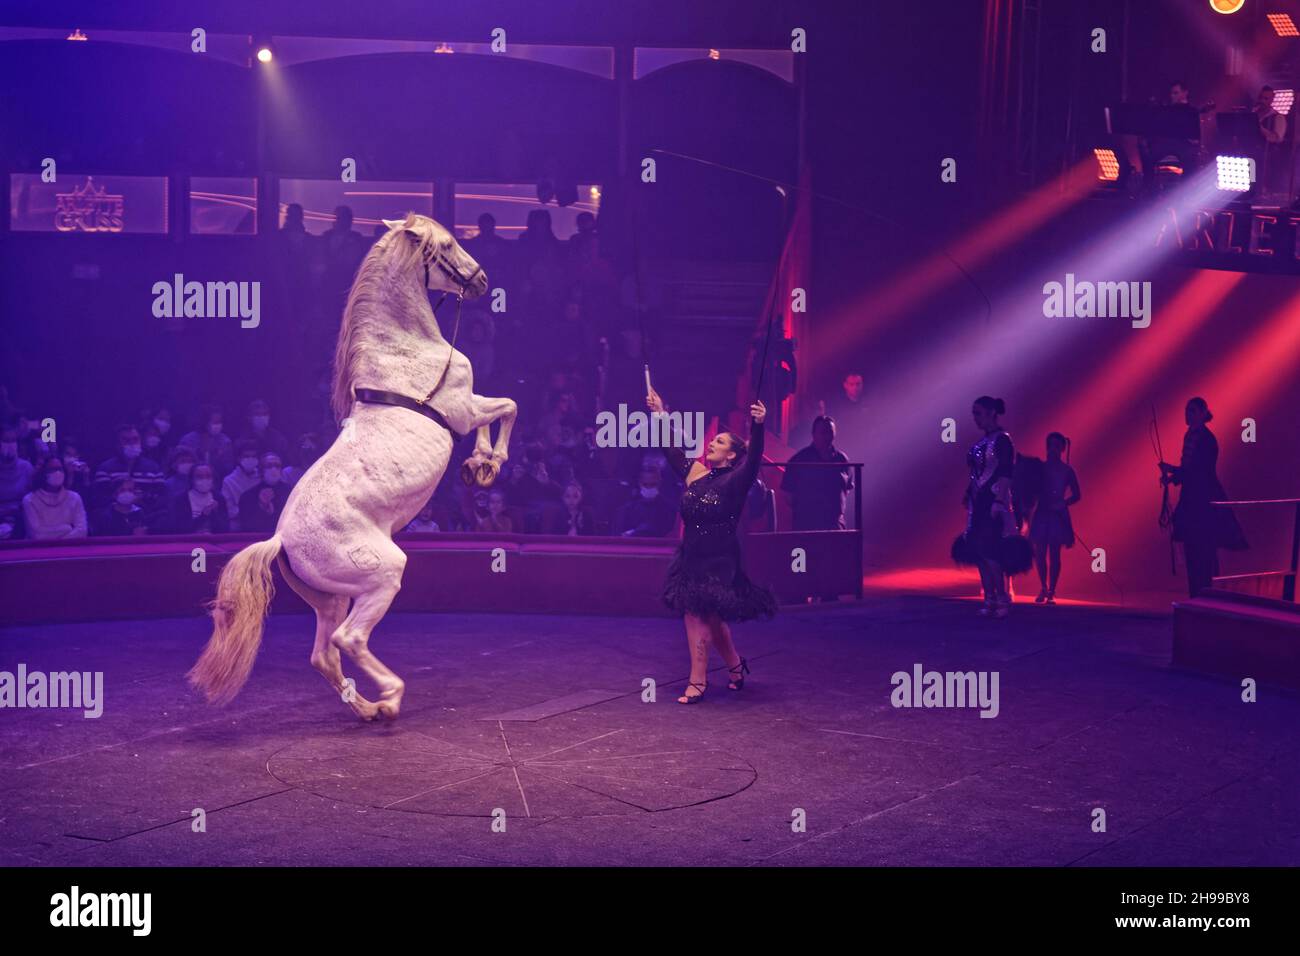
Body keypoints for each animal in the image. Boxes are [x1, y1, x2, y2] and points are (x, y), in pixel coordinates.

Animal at [189, 213, 514, 723]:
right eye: (447, 245)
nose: (481, 279)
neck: (404, 348)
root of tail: (280, 540)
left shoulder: (466, 407)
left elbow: (496, 412)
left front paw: (478, 467)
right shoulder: (462, 409)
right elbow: (507, 407)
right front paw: (492, 461)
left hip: (332, 598)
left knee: (324, 655)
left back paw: (367, 710)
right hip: (381, 577)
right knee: (349, 640)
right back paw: (391, 698)